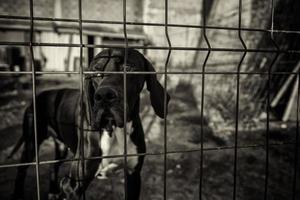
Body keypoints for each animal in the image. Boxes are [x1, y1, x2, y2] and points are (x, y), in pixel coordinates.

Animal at [9, 48, 169, 200]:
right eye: (95, 72)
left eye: (128, 68)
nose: (103, 96)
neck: (113, 130)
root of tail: (37, 97)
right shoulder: (72, 186)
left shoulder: (133, 177)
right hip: (31, 142)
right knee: (21, 170)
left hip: (61, 146)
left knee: (53, 167)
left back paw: (53, 191)